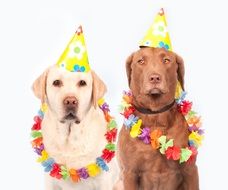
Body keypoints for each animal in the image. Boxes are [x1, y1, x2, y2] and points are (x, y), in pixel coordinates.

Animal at [116, 47, 199, 190]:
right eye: (141, 61)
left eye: (166, 60)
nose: (155, 78)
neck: (155, 117)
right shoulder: (129, 173)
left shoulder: (190, 170)